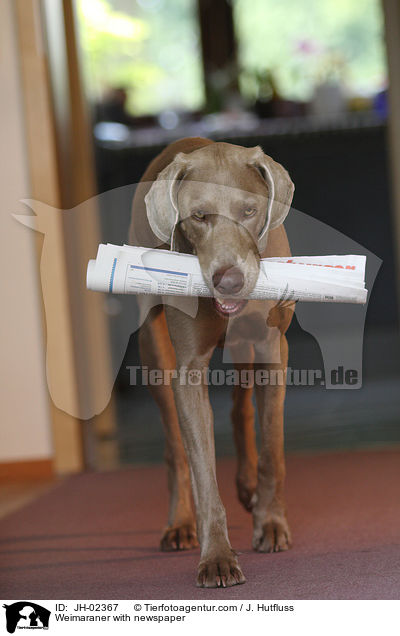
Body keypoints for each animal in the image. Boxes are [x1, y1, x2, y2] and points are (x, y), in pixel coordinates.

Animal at [130, 137, 296, 588]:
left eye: (250, 211)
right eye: (199, 216)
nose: (229, 281)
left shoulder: (274, 350)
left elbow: (273, 445)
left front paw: (270, 523)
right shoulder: (187, 369)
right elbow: (203, 469)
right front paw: (218, 556)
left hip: (246, 345)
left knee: (242, 407)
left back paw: (247, 485)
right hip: (152, 343)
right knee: (176, 447)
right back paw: (180, 524)